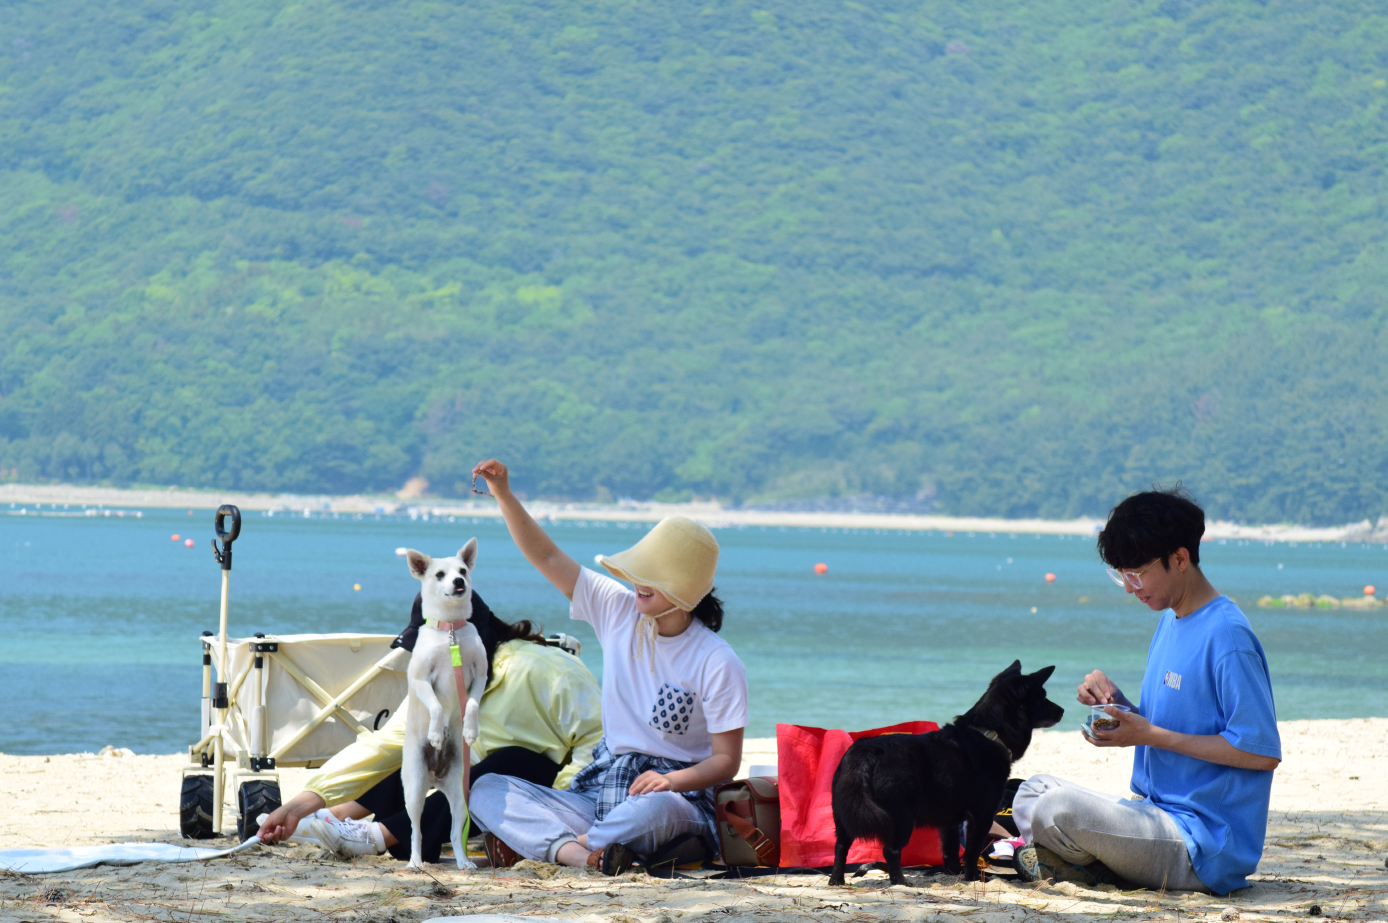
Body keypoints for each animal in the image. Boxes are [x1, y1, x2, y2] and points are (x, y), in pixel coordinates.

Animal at [402, 535, 488, 866]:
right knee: (415, 829)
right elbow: (437, 705)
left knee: (454, 830)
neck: (450, 633)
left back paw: (464, 861)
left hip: (459, 794)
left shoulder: (479, 676)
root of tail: (434, 777)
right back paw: (415, 861)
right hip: (414, 790)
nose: (459, 581)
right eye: (439, 574)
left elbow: (472, 704)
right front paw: (437, 733)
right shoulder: (421, 680)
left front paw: (470, 730)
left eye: (463, 570)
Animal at [827, 657, 1065, 882]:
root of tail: (868, 750)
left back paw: (837, 881)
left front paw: (954, 874)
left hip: (844, 815)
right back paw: (900, 882)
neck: (988, 734)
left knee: (840, 848)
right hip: (899, 818)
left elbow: (950, 852)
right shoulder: (982, 816)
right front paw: (973, 878)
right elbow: (971, 853)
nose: (1063, 710)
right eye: (1042, 697)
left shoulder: (948, 822)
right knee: (891, 851)